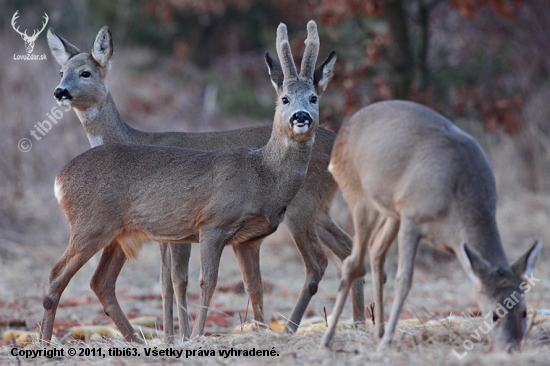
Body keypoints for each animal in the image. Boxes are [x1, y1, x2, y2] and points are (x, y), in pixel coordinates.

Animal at [47, 24, 366, 342]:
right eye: (61, 71)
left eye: (86, 72)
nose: (60, 91)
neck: (261, 173)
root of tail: (58, 179)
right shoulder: (203, 228)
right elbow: (195, 282)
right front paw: (186, 337)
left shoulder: (225, 235)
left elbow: (224, 283)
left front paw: (191, 337)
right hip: (96, 227)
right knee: (67, 277)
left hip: (305, 209)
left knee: (325, 259)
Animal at [324, 100, 544, 352]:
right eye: (494, 315)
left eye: (524, 312)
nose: (511, 347)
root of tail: (343, 131)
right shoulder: (412, 219)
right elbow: (404, 279)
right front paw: (387, 342)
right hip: (358, 197)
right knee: (353, 262)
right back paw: (329, 339)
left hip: (392, 210)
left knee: (376, 247)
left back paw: (377, 332)